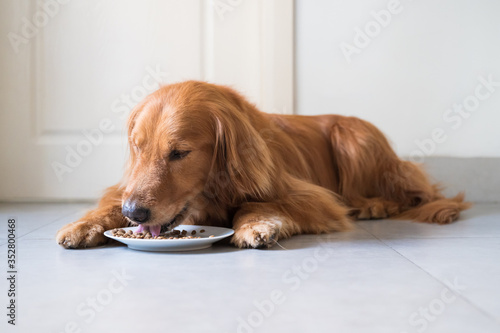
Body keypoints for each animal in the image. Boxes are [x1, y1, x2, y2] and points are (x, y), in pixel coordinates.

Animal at [56, 80, 470, 246]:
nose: (135, 213)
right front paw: (84, 225)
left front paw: (257, 224)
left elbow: (255, 204)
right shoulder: (124, 188)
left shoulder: (315, 198)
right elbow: (108, 205)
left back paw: (375, 205)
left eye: (180, 153)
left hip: (353, 136)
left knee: (409, 195)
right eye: (138, 148)